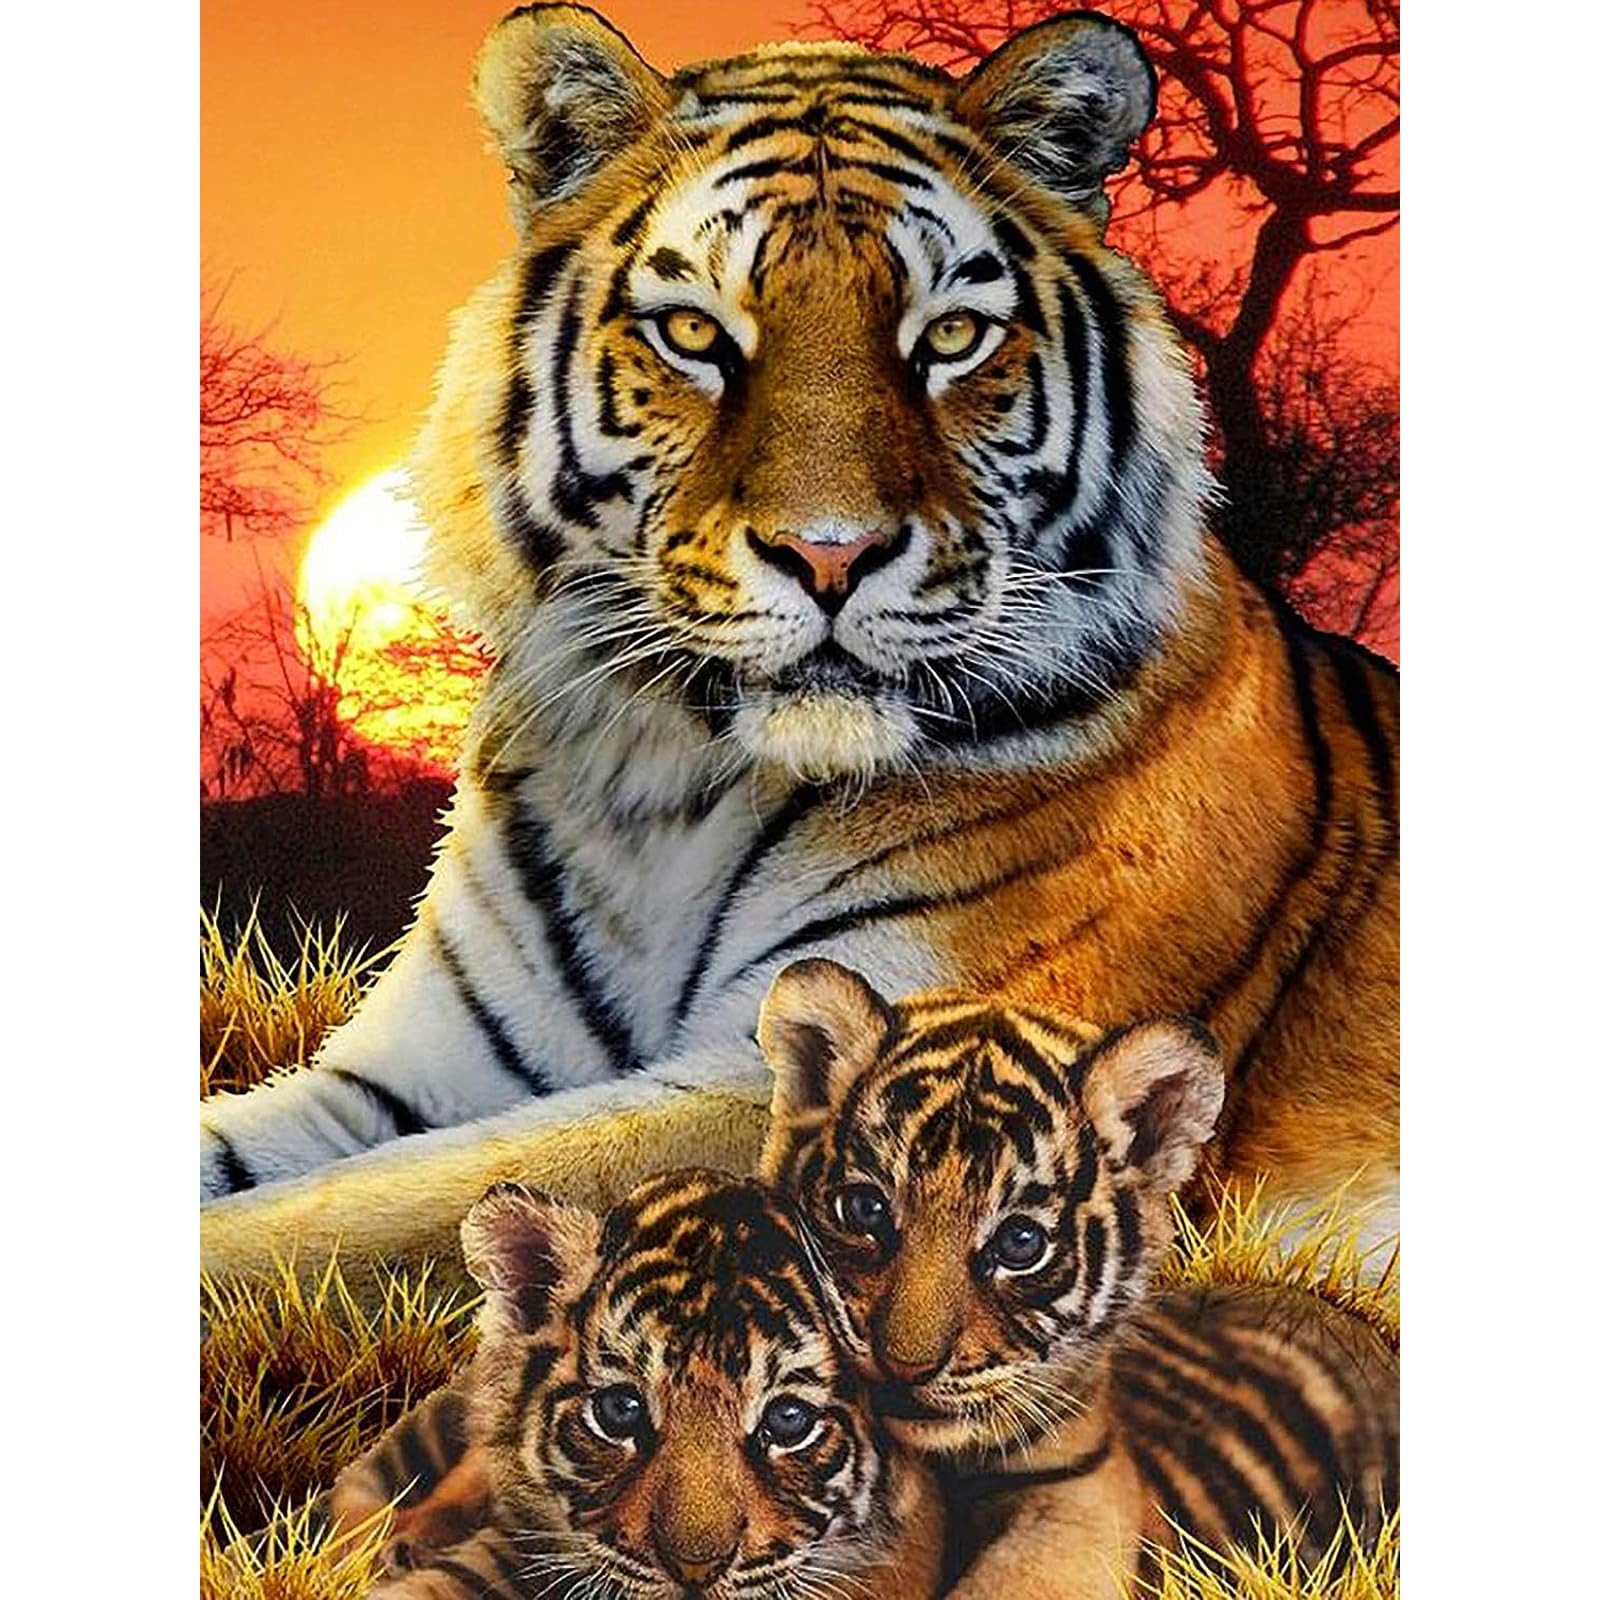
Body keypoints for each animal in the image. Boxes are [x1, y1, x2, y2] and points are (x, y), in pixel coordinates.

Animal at [199, 5, 1398, 1285]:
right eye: (693, 332)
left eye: (952, 336)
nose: (831, 553)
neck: (661, 789)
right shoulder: (413, 1067)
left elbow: (354, 1214)